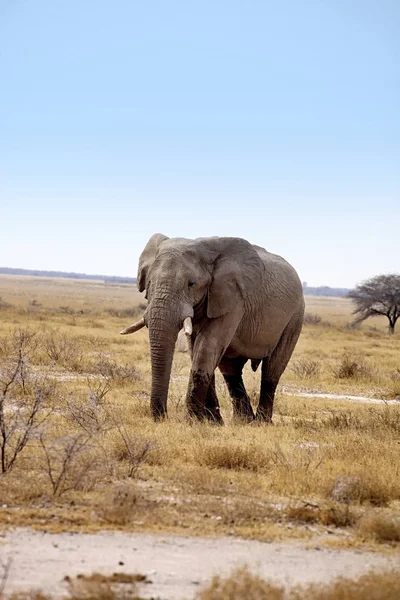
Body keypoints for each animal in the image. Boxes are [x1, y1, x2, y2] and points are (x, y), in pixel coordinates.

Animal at [120, 232, 304, 424]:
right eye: (149, 283)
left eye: (191, 284)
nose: (162, 417)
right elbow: (196, 349)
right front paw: (211, 423)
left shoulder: (233, 298)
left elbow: (207, 347)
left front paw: (193, 421)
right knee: (231, 371)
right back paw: (243, 421)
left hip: (295, 317)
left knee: (271, 370)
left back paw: (261, 423)